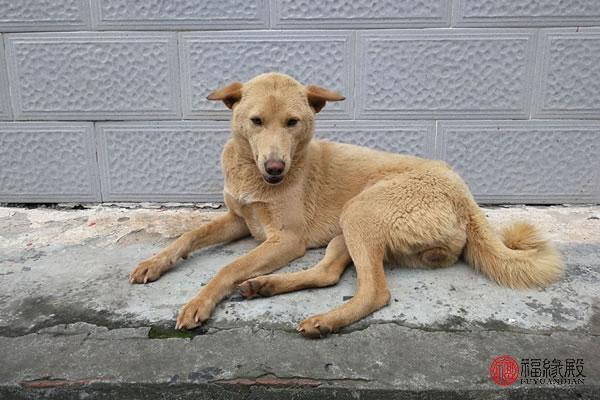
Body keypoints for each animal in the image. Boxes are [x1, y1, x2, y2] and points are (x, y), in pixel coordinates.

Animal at [129, 72, 564, 338]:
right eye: (255, 121)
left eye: (293, 122)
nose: (275, 168)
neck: (252, 171)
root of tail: (465, 195)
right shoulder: (240, 219)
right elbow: (187, 236)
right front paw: (154, 262)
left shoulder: (286, 239)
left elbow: (227, 267)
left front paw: (199, 302)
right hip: (346, 229)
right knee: (328, 274)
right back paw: (265, 285)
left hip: (360, 212)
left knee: (375, 292)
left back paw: (323, 320)